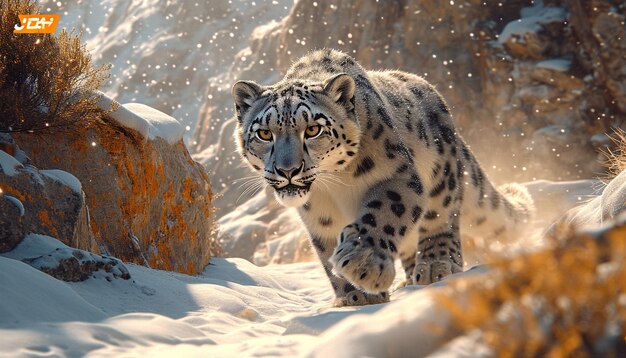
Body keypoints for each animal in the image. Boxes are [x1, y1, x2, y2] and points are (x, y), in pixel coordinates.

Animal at [229, 49, 532, 306]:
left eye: (313, 129)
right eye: (264, 133)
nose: (288, 170)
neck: (335, 186)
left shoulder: (397, 177)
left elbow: (382, 214)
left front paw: (364, 265)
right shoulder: (318, 212)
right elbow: (326, 250)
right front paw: (357, 296)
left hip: (440, 172)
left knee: (440, 217)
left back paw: (435, 265)